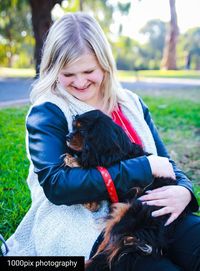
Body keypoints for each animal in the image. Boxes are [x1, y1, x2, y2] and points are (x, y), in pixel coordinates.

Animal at [65, 110, 185, 270]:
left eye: (82, 130)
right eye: (73, 127)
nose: (67, 137)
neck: (119, 153)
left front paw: (71, 159)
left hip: (126, 214)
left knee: (109, 248)